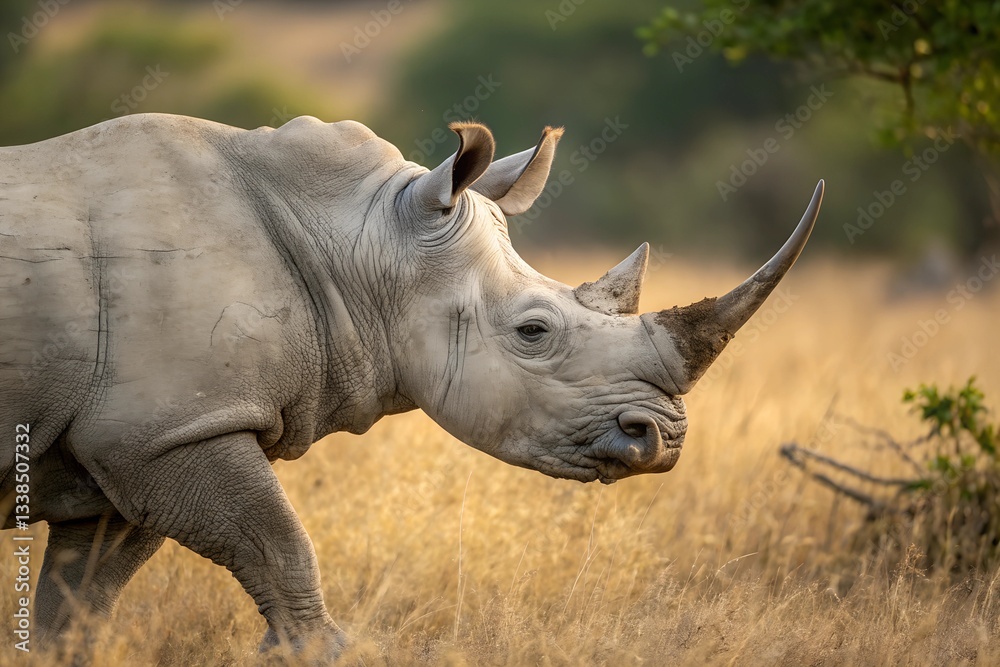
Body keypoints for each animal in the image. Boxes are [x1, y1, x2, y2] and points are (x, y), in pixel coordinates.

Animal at [0, 113, 823, 659]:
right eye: (534, 331)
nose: (665, 439)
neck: (362, 243)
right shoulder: (169, 430)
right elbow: (278, 546)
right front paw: (320, 650)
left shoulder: (136, 441)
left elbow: (80, 603)